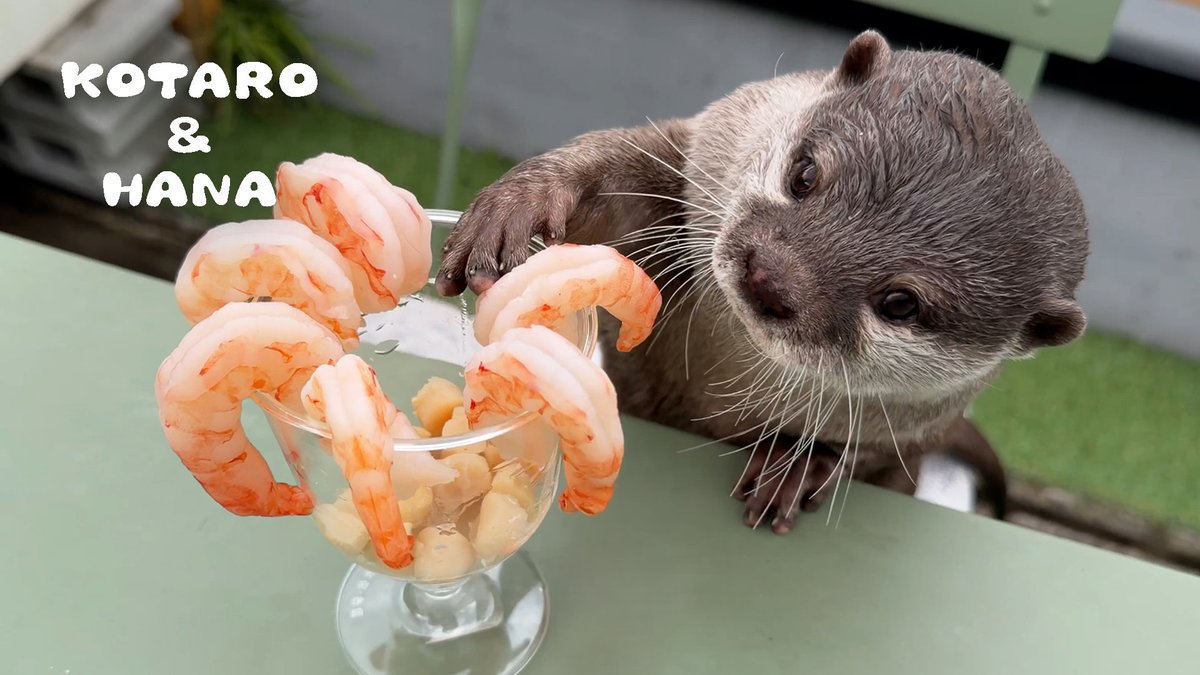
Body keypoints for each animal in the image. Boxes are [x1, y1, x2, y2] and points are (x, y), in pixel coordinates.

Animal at [436, 31, 1088, 533]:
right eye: (805, 174)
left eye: (901, 302)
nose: (772, 275)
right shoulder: (697, 151)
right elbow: (616, 170)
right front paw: (521, 204)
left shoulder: (913, 428)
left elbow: (860, 453)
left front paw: (799, 466)